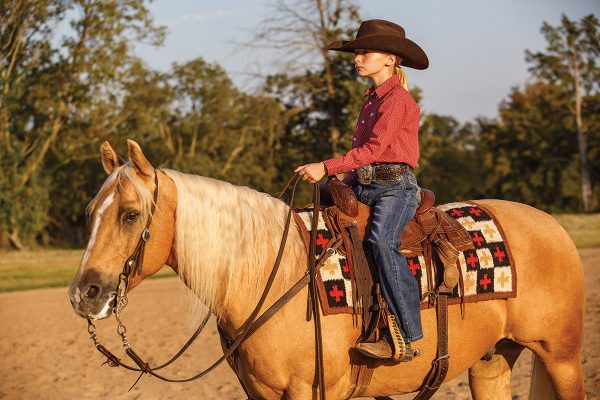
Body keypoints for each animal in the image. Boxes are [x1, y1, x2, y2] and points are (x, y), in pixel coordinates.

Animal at [69, 139, 584, 398]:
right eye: (91, 210)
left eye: (130, 214)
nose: (84, 294)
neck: (271, 278)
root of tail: (553, 227)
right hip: (492, 361)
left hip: (560, 357)